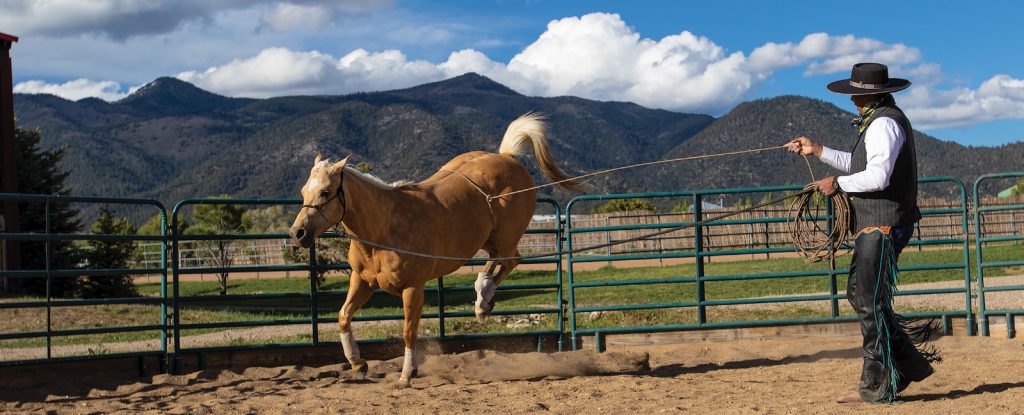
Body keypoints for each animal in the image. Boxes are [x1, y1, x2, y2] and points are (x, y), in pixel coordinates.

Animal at [288, 113, 582, 386]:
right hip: (487, 239)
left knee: (509, 260)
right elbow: (343, 316)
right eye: (304, 191)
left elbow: (409, 331)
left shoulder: (412, 288)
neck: (382, 228)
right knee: (498, 261)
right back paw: (482, 300)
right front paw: (358, 363)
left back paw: (483, 301)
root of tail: (508, 157)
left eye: (326, 192)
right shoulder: (362, 281)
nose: (297, 233)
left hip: (505, 237)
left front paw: (406, 375)